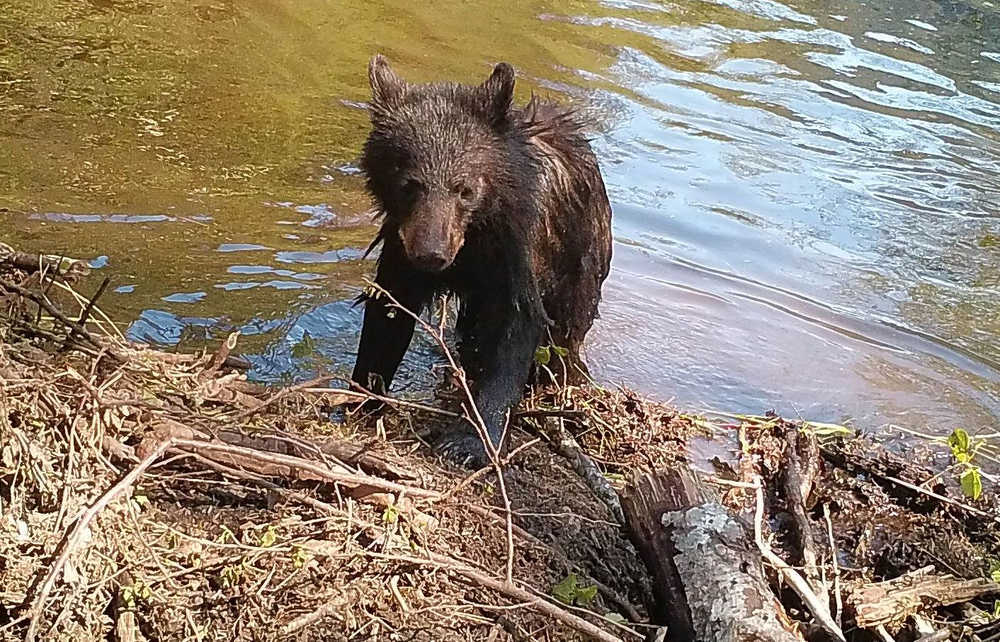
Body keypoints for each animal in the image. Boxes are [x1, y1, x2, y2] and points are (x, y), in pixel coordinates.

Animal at [351, 55, 613, 467]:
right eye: (409, 184)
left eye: (465, 189)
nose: (431, 254)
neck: (477, 234)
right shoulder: (400, 241)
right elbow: (389, 313)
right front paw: (360, 397)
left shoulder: (522, 251)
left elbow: (516, 330)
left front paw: (470, 441)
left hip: (581, 275)